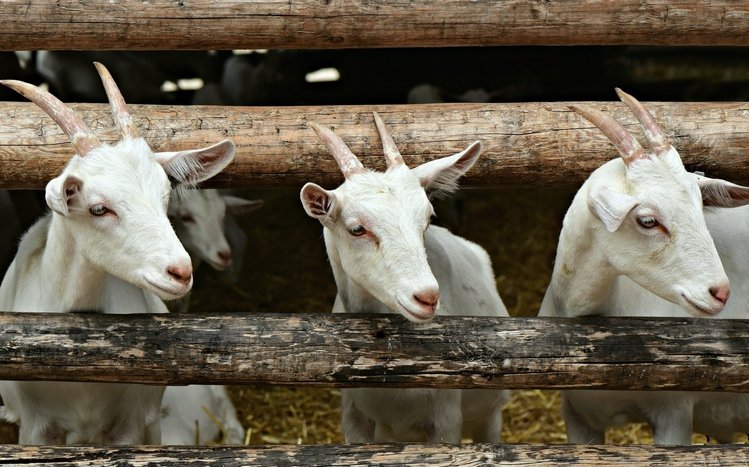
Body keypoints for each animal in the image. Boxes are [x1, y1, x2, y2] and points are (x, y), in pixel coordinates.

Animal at [300, 113, 509, 443]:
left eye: (428, 218)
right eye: (357, 228)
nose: (427, 297)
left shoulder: (445, 419)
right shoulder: (354, 417)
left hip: (490, 414)